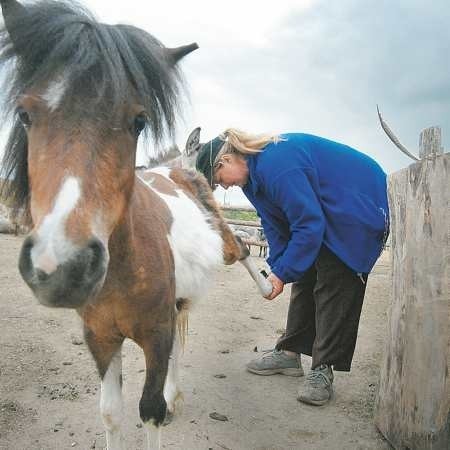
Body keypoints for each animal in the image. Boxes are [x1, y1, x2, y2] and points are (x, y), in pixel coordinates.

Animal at [0, 0, 268, 450]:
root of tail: (179, 170)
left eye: (139, 121)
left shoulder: (154, 336)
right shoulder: (101, 339)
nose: (64, 267)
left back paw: (267, 287)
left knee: (245, 249)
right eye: (24, 114)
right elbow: (111, 412)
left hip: (223, 246)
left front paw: (164, 403)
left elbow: (150, 409)